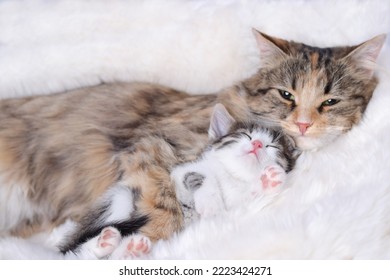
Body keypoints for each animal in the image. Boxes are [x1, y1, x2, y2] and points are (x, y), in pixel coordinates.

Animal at [0, 29, 384, 253]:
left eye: (330, 102)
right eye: (286, 95)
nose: (303, 124)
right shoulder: (150, 150)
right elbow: (166, 210)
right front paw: (146, 241)